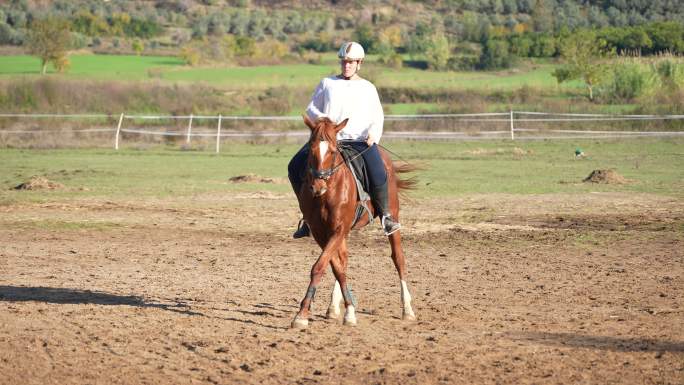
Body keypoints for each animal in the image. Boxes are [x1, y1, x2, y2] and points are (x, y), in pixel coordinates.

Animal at [288, 114, 416, 328]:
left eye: (332, 151)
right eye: (311, 150)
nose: (318, 186)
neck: (328, 193)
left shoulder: (339, 229)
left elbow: (320, 267)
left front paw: (303, 314)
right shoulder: (321, 232)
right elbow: (336, 268)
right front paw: (346, 309)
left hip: (392, 216)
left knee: (399, 258)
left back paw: (407, 309)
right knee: (344, 261)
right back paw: (333, 308)